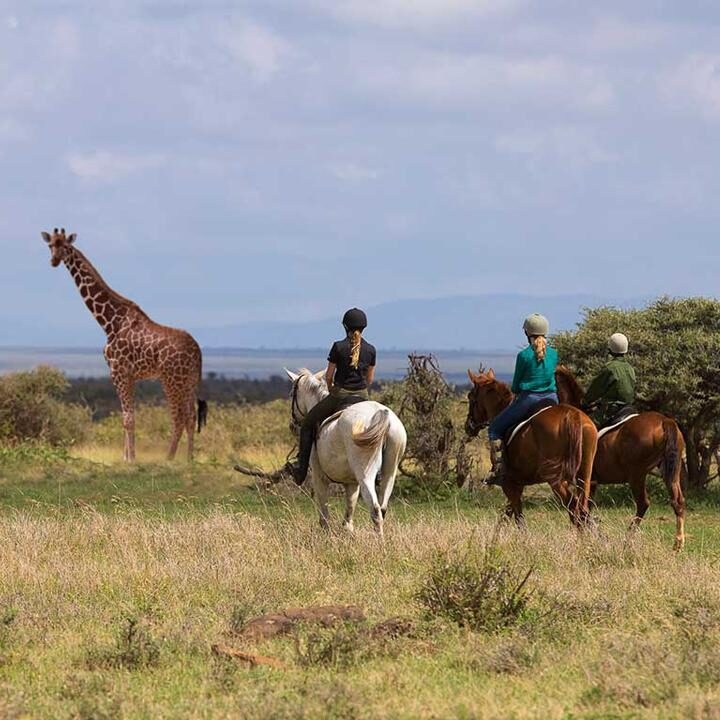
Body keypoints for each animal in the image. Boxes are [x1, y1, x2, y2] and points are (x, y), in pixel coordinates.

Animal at [41, 228, 207, 462]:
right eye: (50, 246)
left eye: (65, 246)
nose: (54, 261)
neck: (109, 322)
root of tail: (197, 350)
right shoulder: (130, 375)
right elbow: (128, 417)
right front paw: (126, 456)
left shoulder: (118, 370)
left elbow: (127, 418)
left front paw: (130, 459)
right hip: (189, 380)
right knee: (191, 416)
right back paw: (188, 459)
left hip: (171, 378)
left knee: (179, 417)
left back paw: (169, 458)